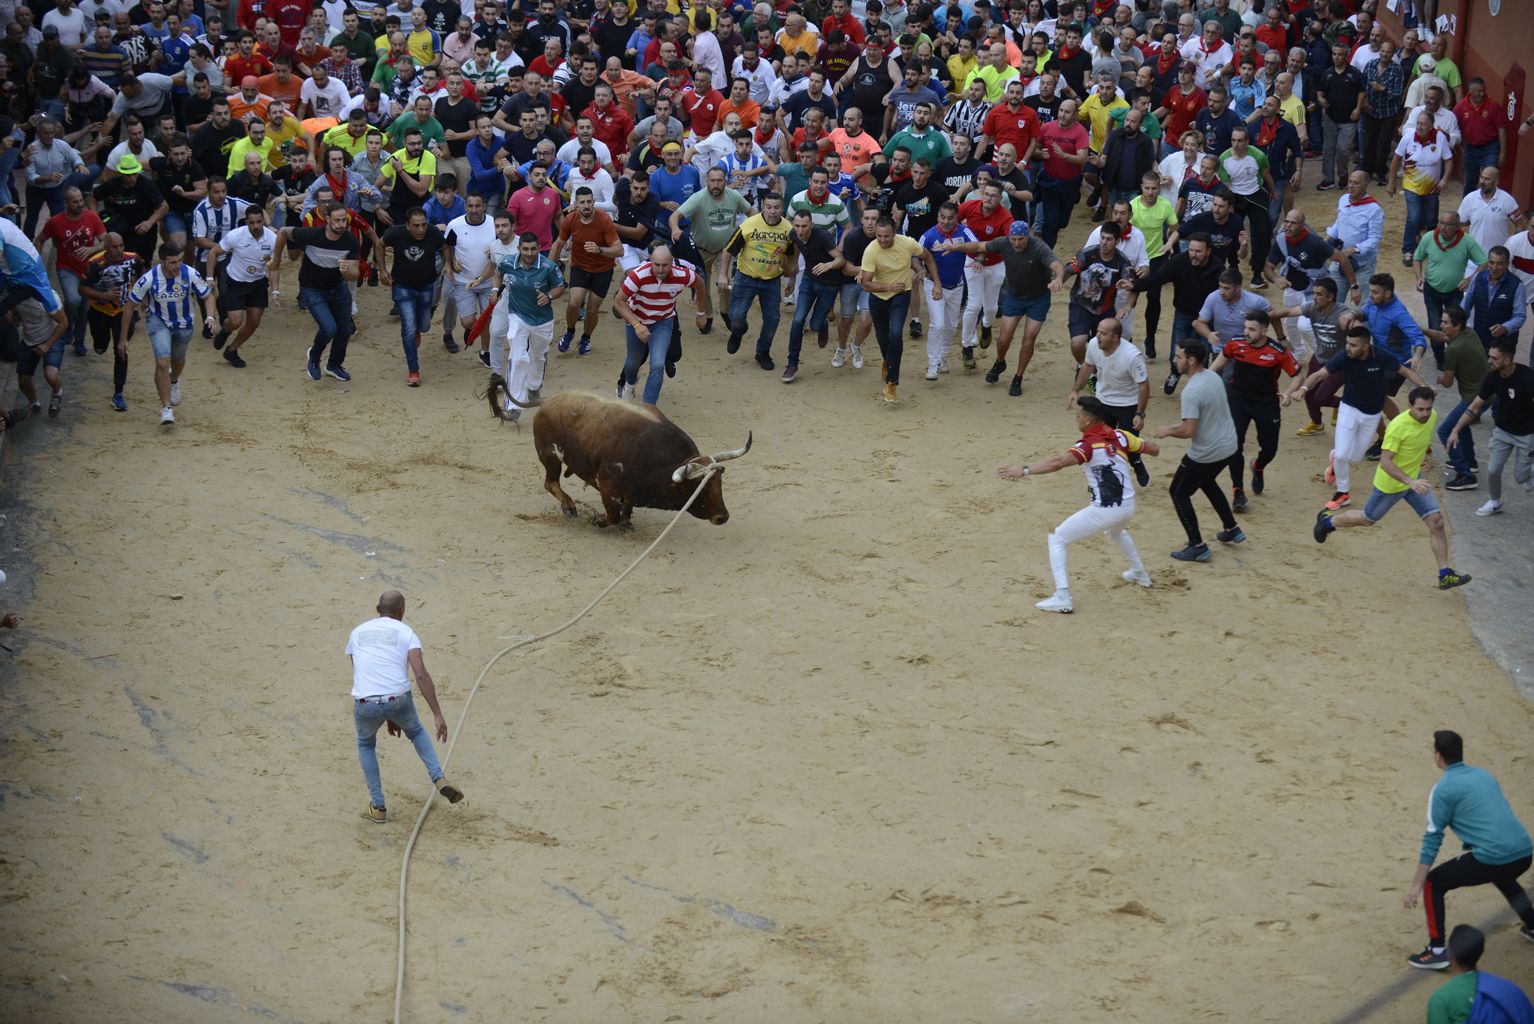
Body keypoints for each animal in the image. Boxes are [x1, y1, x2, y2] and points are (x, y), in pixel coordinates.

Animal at [530, 387, 751, 524]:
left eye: (719, 483)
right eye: (700, 488)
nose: (722, 517)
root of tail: (549, 401)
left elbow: (625, 509)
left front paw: (627, 521)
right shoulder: (608, 486)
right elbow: (612, 515)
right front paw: (598, 521)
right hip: (549, 455)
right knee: (550, 483)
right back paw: (569, 507)